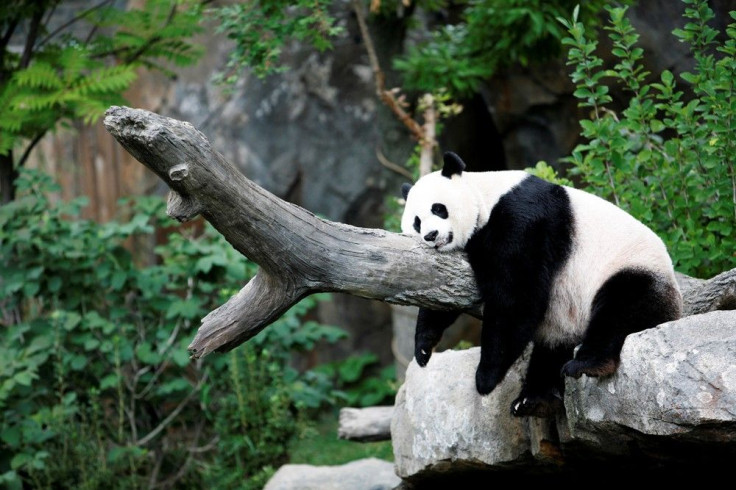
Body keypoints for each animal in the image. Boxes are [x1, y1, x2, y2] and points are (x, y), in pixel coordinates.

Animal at [400, 151, 680, 416]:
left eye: (438, 208)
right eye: (416, 221)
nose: (431, 235)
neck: (485, 196)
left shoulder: (523, 219)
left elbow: (516, 295)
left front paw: (485, 378)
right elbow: (444, 293)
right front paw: (423, 348)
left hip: (631, 269)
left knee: (620, 309)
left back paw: (587, 364)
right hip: (564, 319)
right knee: (552, 349)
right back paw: (533, 399)